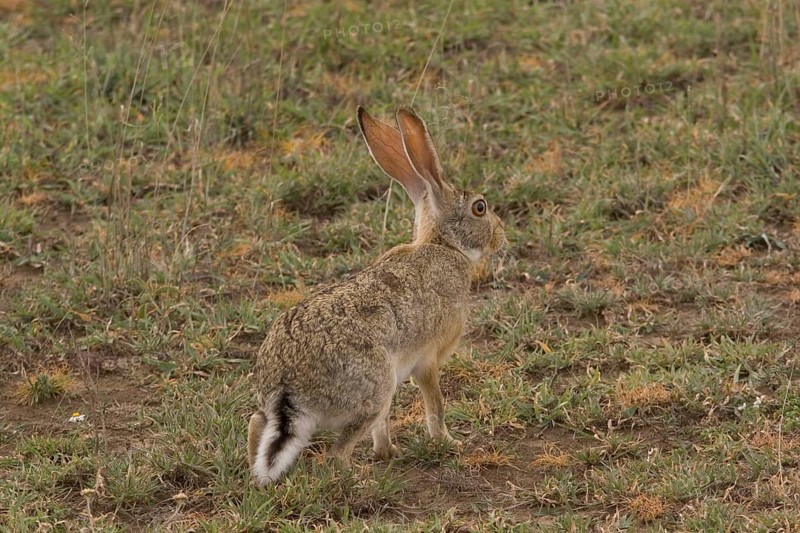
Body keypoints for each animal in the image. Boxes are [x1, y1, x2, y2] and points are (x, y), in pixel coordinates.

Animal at [247, 106, 506, 485]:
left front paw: (388, 452)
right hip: (376, 386)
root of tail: (287, 388)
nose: (501, 235)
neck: (444, 246)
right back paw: (360, 479)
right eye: (480, 208)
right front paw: (449, 443)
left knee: (256, 424)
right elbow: (436, 406)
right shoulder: (427, 361)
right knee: (336, 455)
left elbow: (384, 426)